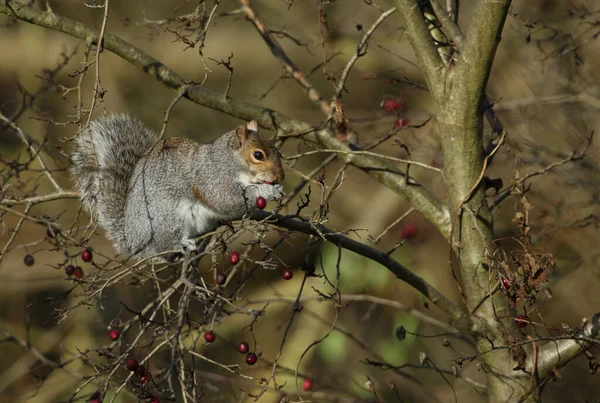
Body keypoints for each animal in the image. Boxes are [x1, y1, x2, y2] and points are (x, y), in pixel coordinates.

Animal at [70, 112, 286, 260]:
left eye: (277, 151)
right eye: (258, 155)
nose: (280, 176)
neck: (228, 160)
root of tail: (134, 241)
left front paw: (276, 189)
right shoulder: (211, 178)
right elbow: (224, 198)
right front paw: (266, 190)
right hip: (165, 217)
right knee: (165, 246)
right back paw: (180, 242)